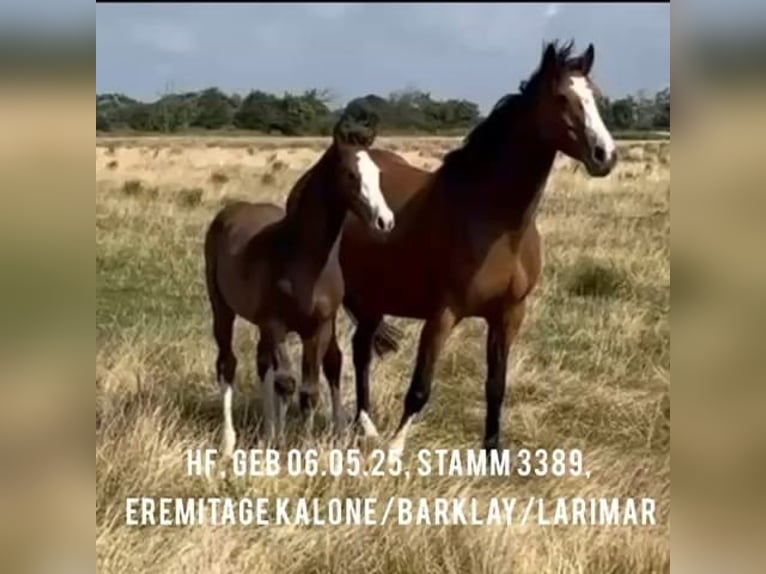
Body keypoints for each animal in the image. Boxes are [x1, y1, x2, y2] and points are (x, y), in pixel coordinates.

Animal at [203, 115, 395, 457]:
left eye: (377, 173)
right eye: (351, 174)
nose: (385, 221)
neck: (304, 260)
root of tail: (230, 211)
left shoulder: (317, 328)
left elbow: (309, 390)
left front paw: (302, 447)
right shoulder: (275, 324)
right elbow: (288, 382)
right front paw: (280, 443)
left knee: (268, 365)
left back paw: (270, 429)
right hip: (222, 309)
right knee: (229, 364)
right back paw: (229, 441)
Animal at [334, 40, 618, 458]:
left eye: (595, 97)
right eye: (562, 98)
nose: (605, 155)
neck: (496, 222)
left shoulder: (509, 315)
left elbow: (495, 387)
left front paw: (493, 452)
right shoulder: (443, 314)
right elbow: (419, 389)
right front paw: (395, 450)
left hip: (375, 299)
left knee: (361, 350)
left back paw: (365, 427)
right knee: (359, 355)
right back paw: (366, 427)